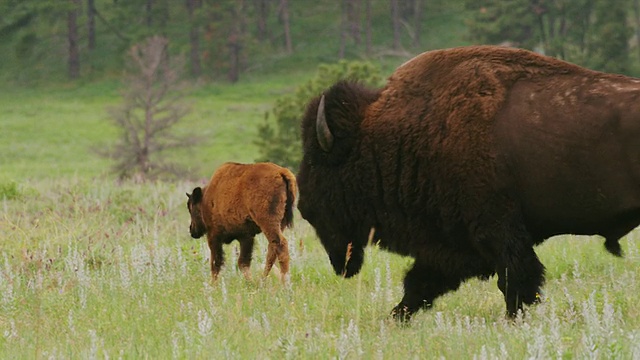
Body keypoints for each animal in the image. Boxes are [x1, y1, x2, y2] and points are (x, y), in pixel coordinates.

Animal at [298, 45, 640, 320]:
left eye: (317, 162)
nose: (303, 206)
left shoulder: (497, 231)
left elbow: (516, 281)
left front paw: (514, 320)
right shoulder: (451, 244)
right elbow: (419, 284)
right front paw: (395, 317)